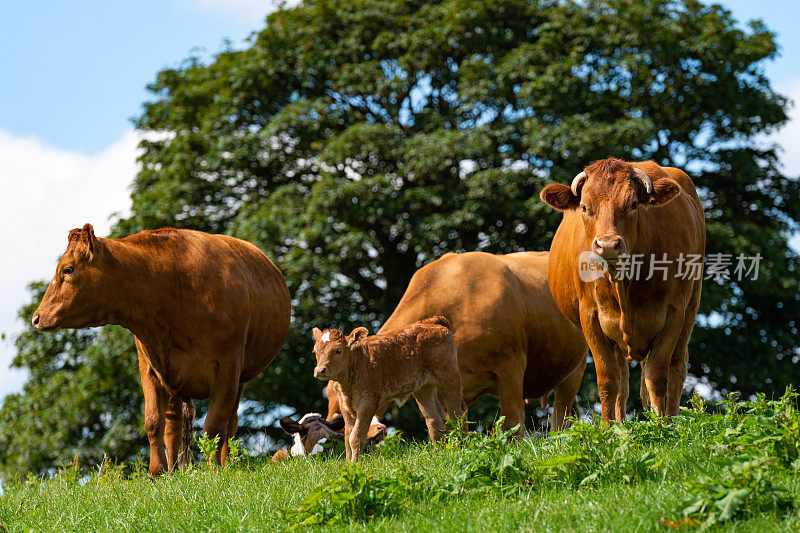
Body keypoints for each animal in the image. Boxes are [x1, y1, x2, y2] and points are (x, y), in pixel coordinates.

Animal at [34, 224, 292, 474]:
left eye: (67, 269)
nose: (37, 317)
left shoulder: (229, 366)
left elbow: (214, 425)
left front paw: (213, 469)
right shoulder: (149, 365)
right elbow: (153, 421)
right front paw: (157, 472)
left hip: (240, 378)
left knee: (230, 422)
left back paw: (224, 462)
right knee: (174, 424)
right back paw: (174, 470)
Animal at [310, 316, 462, 462]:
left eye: (338, 350)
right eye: (315, 351)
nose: (319, 370)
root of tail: (433, 322)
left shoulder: (367, 404)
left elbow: (356, 437)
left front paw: (355, 463)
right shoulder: (345, 407)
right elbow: (348, 437)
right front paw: (348, 463)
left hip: (450, 377)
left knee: (457, 413)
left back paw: (462, 445)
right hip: (424, 388)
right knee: (435, 420)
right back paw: (440, 451)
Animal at [324, 250, 588, 432]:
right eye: (328, 391)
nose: (334, 423)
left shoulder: (510, 366)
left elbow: (512, 424)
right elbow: (442, 425)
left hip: (576, 366)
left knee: (560, 415)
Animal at [536, 157, 708, 420]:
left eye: (633, 204)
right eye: (584, 207)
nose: (607, 244)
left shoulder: (674, 313)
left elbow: (658, 375)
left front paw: (662, 424)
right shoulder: (590, 317)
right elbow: (608, 380)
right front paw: (607, 427)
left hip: (691, 307)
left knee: (677, 367)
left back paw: (671, 416)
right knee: (622, 381)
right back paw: (621, 423)